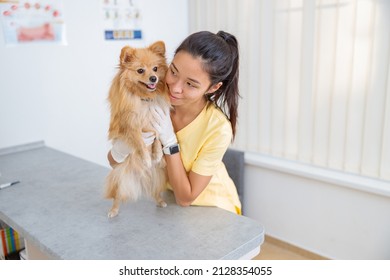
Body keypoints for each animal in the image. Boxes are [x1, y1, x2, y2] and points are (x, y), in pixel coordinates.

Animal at [104, 40, 170, 218]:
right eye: (140, 70)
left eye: (155, 68)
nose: (153, 78)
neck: (144, 99)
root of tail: (141, 176)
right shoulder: (128, 125)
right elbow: (139, 139)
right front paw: (147, 158)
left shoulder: (155, 120)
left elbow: (157, 135)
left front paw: (157, 154)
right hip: (119, 180)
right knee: (117, 197)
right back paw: (113, 211)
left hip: (158, 177)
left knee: (155, 192)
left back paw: (160, 200)